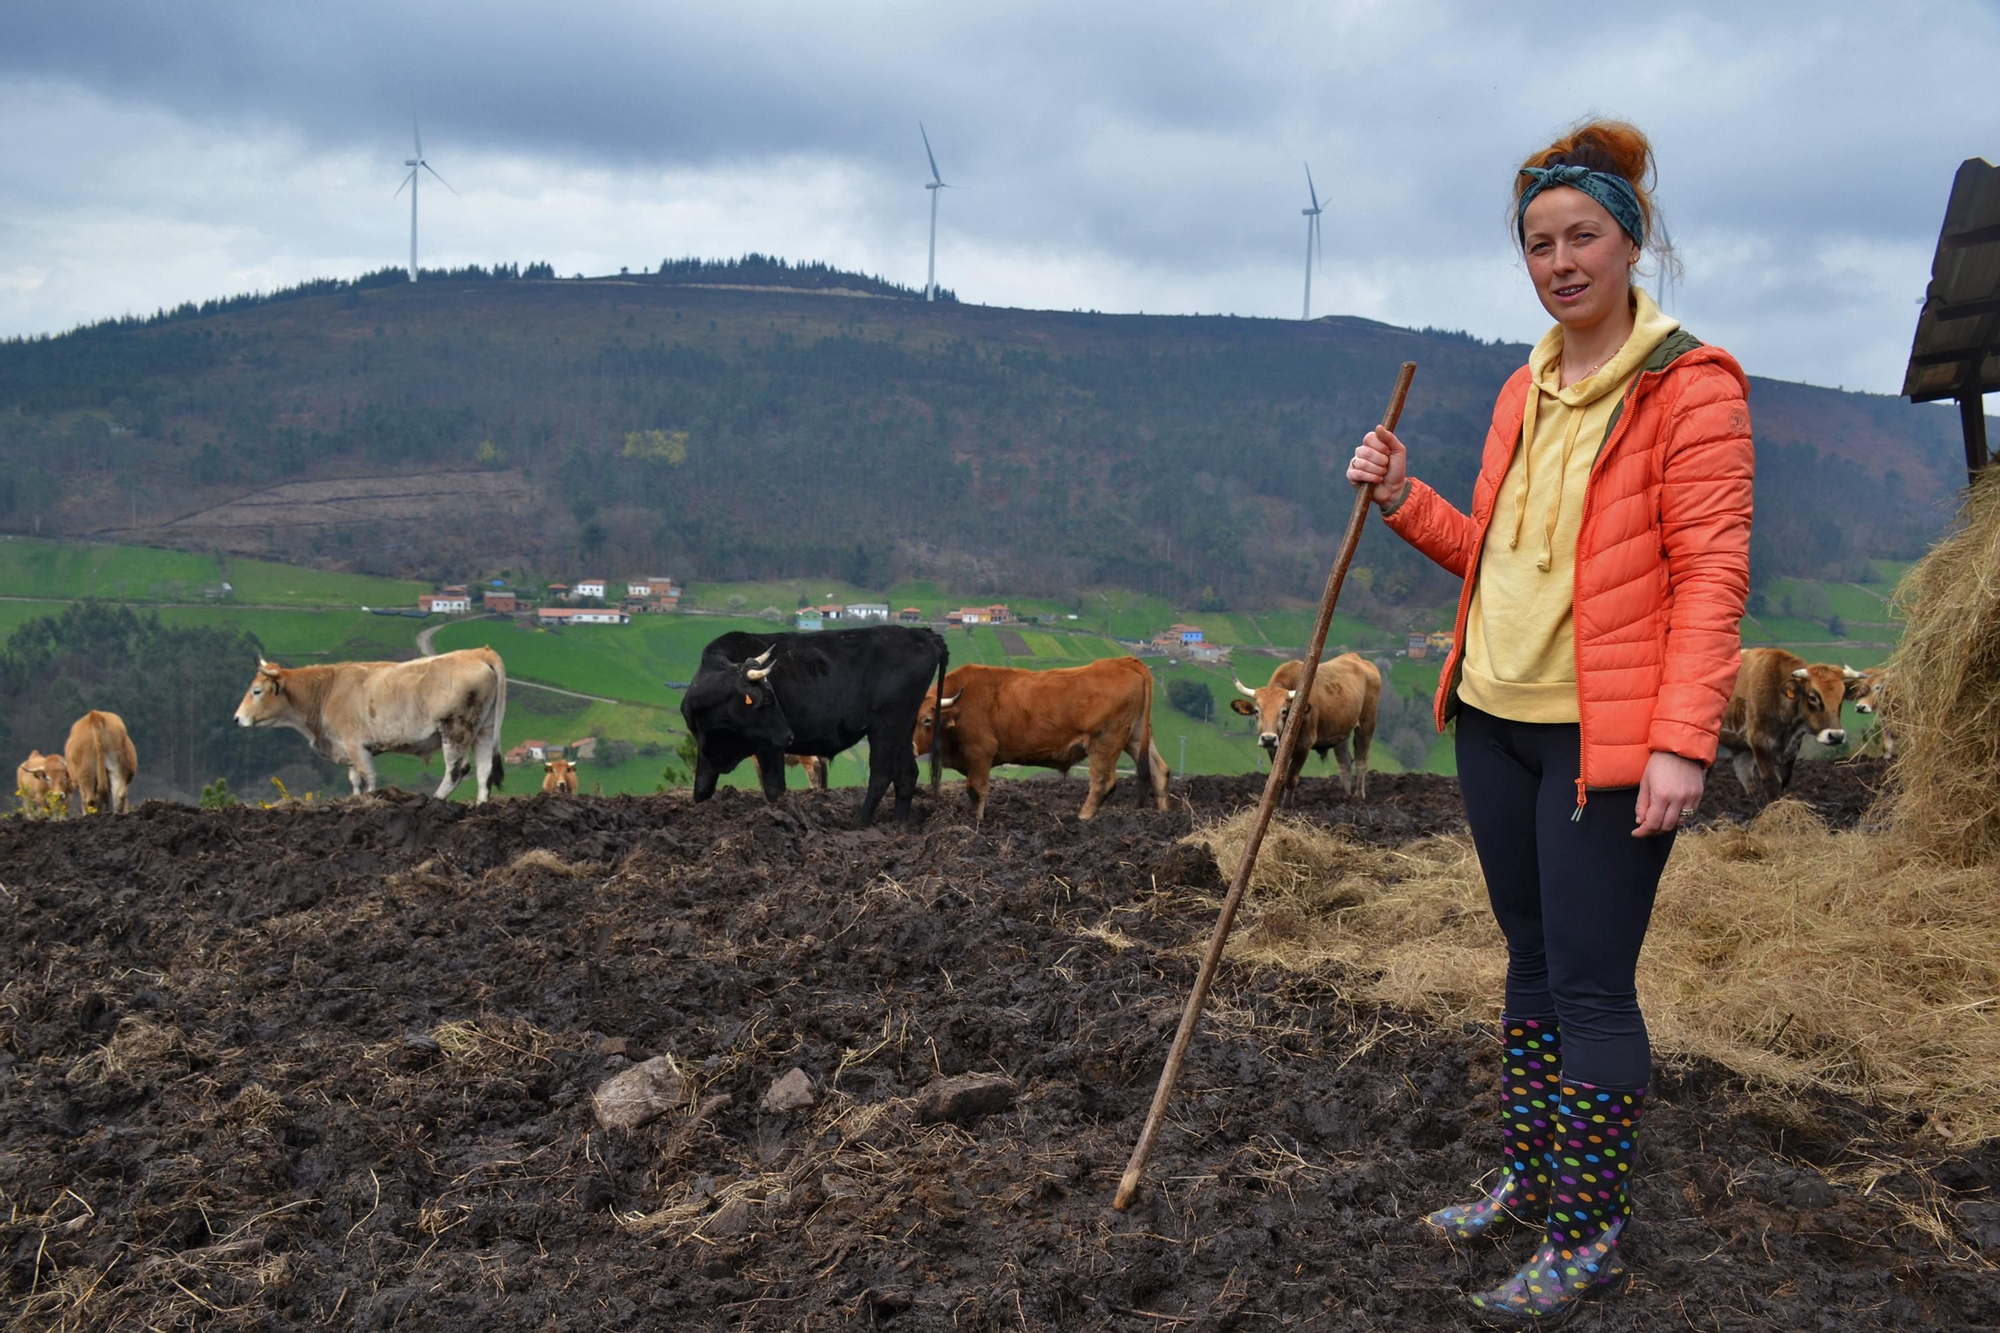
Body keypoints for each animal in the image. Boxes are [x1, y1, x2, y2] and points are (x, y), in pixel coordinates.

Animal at [676, 624, 948, 820]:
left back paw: (859, 823)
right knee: (907, 773)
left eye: (773, 697)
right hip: (904, 725)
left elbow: (774, 789)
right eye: (765, 700)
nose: (788, 736)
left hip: (887, 725)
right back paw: (899, 825)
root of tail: (921, 633)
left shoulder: (767, 747)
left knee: (882, 773)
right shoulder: (707, 749)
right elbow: (702, 789)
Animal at [912, 652, 1168, 820]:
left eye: (927, 720)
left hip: (1105, 741)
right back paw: (1164, 814)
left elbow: (976, 790)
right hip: (1135, 736)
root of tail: (1123, 661)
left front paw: (976, 822)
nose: (911, 747)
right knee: (1159, 770)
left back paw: (1081, 818)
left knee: (1102, 782)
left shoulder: (981, 752)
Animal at [1224, 648, 1384, 792]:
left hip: (1367, 725)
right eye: (1257, 711)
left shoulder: (1304, 745)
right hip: (1341, 732)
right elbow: (1277, 778)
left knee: (1362, 761)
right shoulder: (1274, 750)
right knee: (1345, 764)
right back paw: (1346, 796)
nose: (1268, 739)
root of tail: (1359, 660)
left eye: (1284, 711)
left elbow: (1291, 779)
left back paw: (1358, 796)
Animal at [1720, 644, 1840, 800]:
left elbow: (1783, 780)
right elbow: (1771, 781)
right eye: (1813, 697)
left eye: (1841, 698)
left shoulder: (1792, 749)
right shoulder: (1759, 741)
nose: (1836, 736)